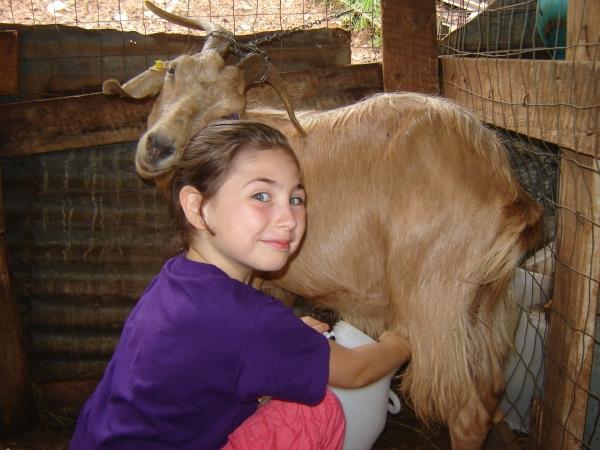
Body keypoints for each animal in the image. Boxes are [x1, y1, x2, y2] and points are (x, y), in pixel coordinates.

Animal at [103, 1, 544, 448]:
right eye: (174, 71)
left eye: (228, 112)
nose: (158, 147)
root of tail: (505, 186)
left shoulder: (266, 281)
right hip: (489, 305)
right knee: (491, 389)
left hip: (435, 304)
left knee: (466, 411)